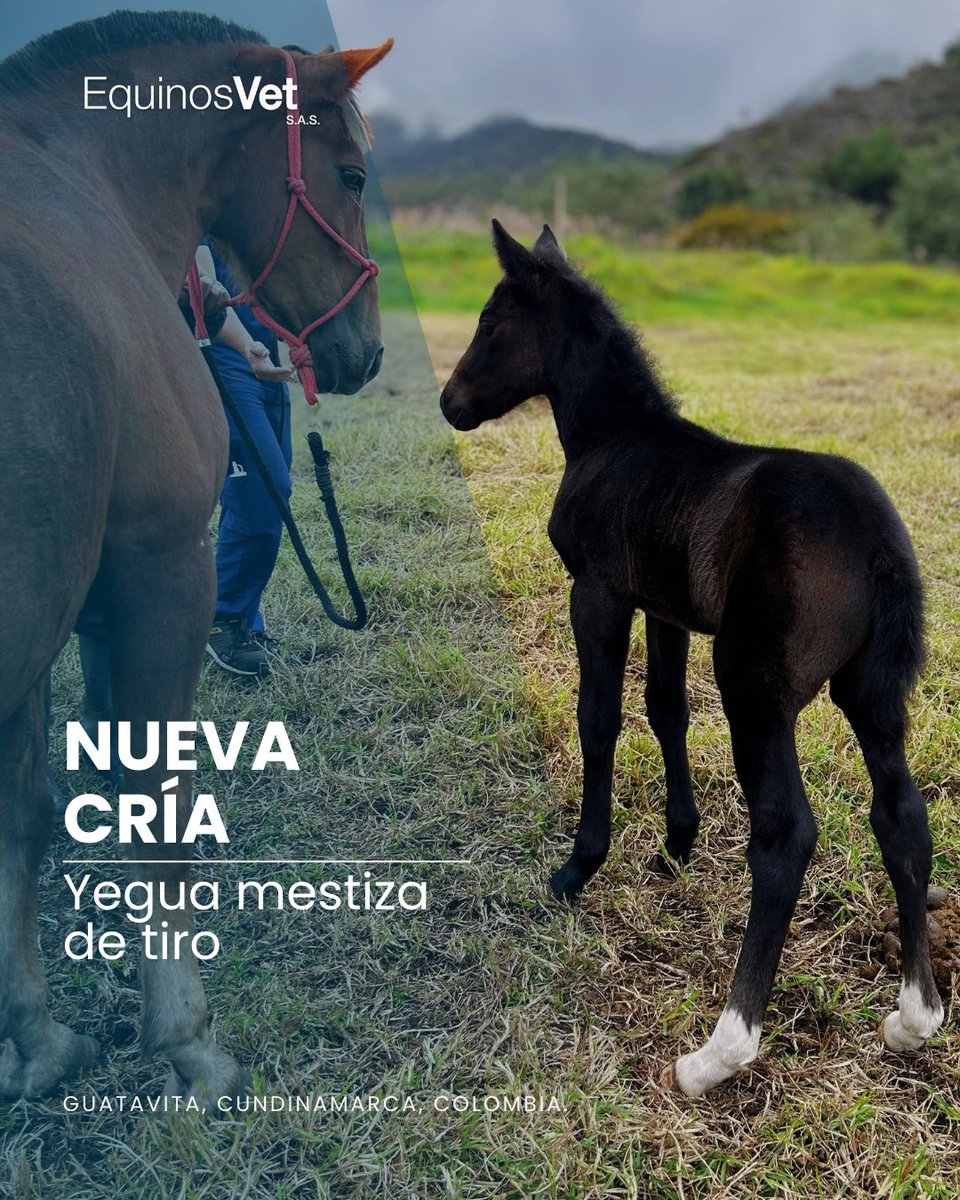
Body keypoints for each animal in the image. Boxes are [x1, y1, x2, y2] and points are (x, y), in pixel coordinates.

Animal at [0, 12, 391, 1102]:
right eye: (350, 174)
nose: (368, 351)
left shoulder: (49, 630)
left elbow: (27, 815)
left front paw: (35, 1038)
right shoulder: (161, 571)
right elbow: (155, 809)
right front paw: (184, 1036)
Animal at [440, 220, 944, 1097]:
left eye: (491, 322)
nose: (450, 403)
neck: (614, 440)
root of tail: (878, 542)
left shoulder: (599, 593)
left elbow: (600, 719)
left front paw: (580, 866)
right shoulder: (665, 608)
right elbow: (665, 710)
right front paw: (677, 844)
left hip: (753, 688)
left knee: (784, 835)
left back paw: (719, 1053)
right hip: (872, 693)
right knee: (902, 816)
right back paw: (914, 1018)